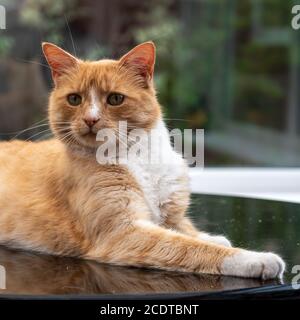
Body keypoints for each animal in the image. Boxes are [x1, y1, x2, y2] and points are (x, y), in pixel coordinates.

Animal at [0, 41, 284, 278]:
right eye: (74, 99)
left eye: (115, 98)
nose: (91, 119)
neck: (138, 156)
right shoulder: (124, 232)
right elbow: (188, 246)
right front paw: (255, 259)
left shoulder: (170, 216)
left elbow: (187, 231)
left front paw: (212, 237)